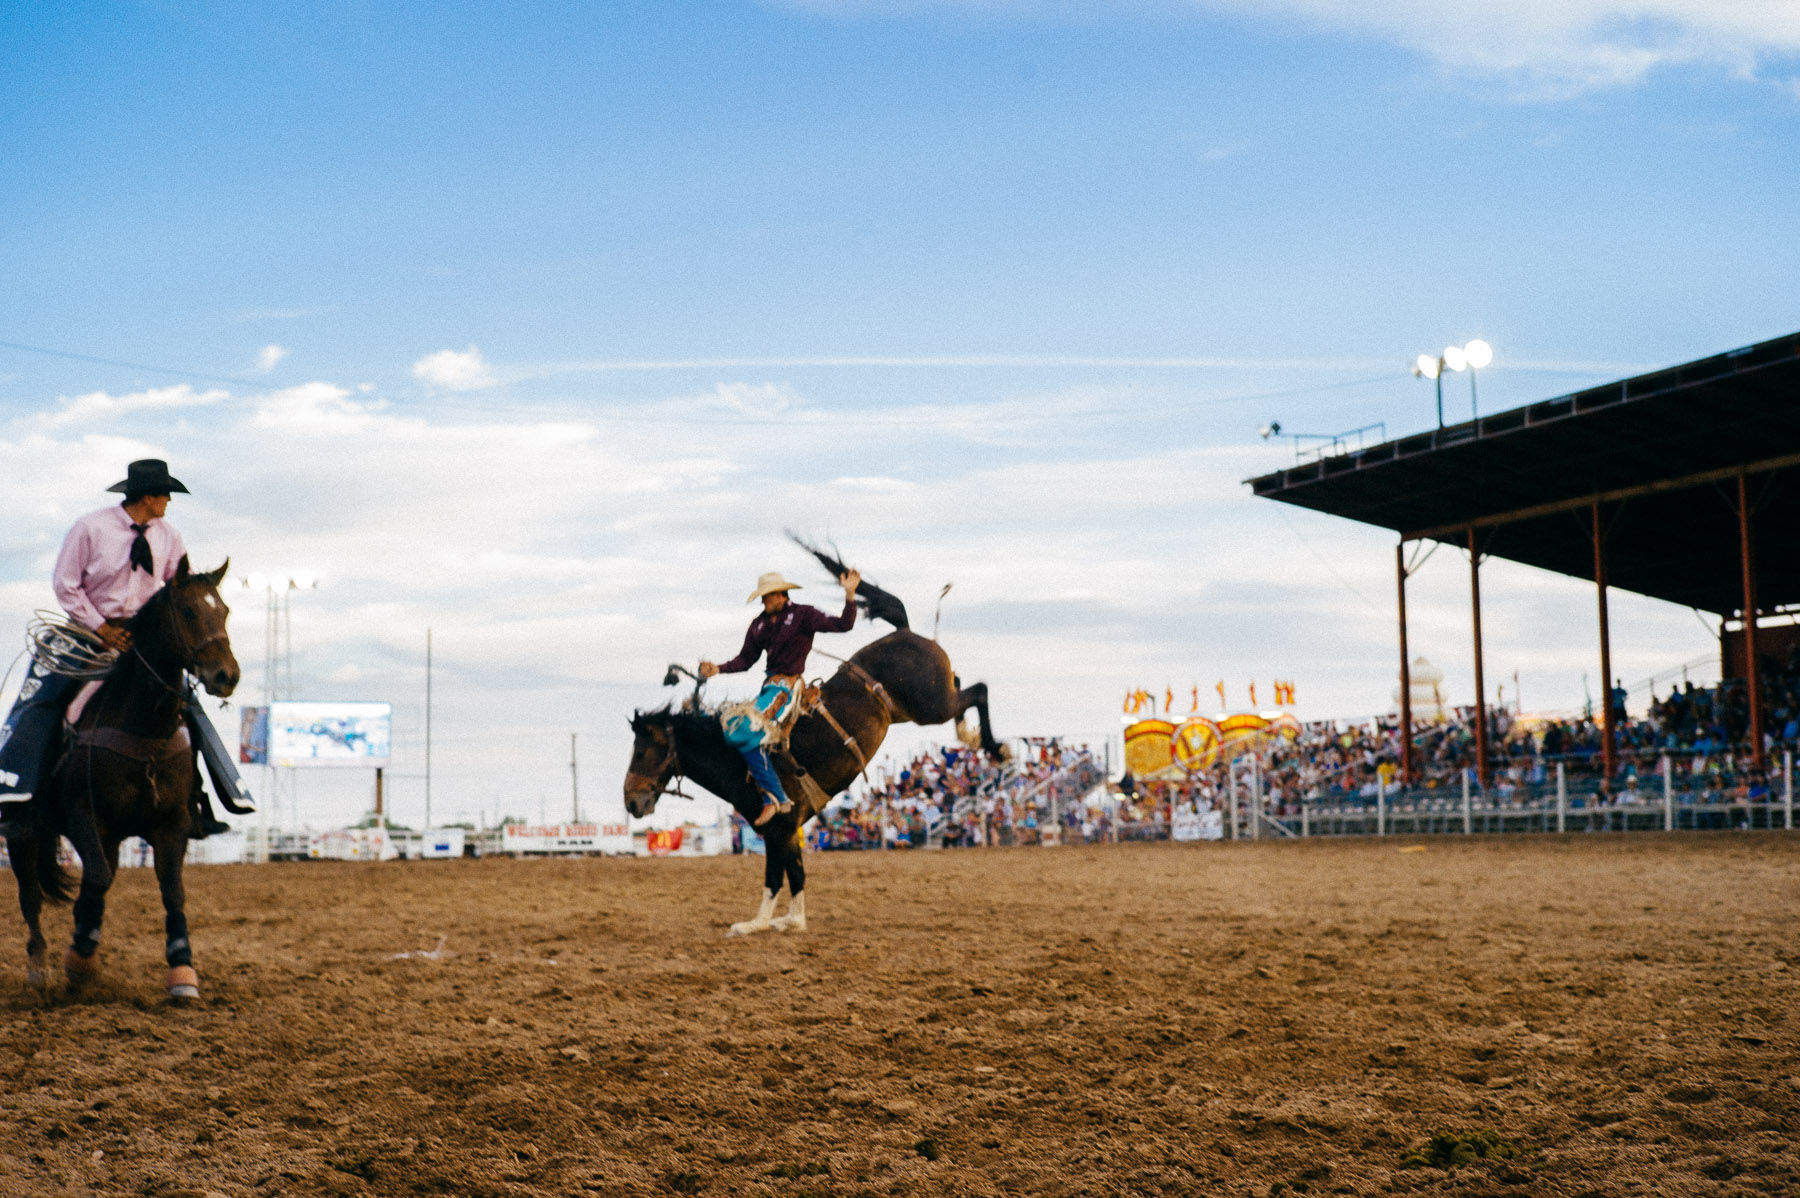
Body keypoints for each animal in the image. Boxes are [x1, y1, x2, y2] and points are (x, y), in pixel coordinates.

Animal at [6, 561, 239, 1000]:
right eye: (187, 611)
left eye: (225, 611)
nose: (226, 675)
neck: (144, 728)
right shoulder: (85, 815)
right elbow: (95, 880)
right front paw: (80, 961)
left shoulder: (171, 823)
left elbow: (171, 889)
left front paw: (182, 971)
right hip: (22, 833)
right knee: (31, 896)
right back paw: (38, 970)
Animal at [630, 546, 1000, 935]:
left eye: (641, 751)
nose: (631, 802)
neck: (732, 759)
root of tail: (905, 633)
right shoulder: (789, 831)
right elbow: (796, 874)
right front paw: (791, 919)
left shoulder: (779, 829)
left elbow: (775, 877)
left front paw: (758, 923)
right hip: (919, 706)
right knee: (963, 685)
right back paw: (971, 734)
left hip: (931, 706)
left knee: (979, 691)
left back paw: (993, 746)